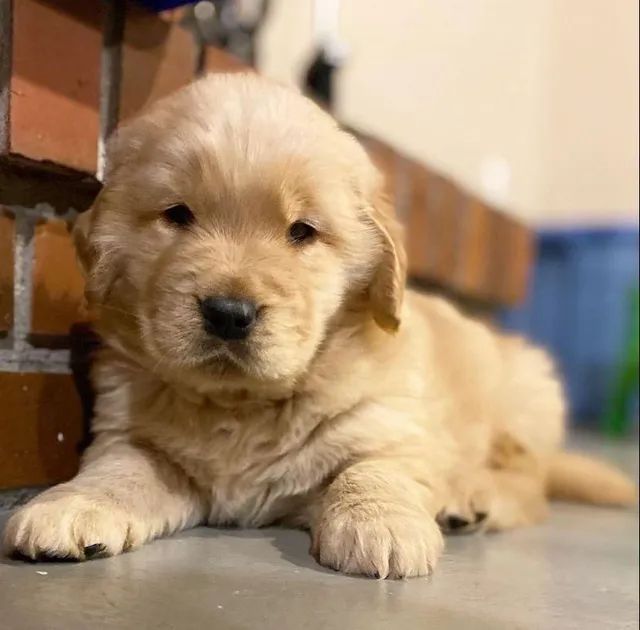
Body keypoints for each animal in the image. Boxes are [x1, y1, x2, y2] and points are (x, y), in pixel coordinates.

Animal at [3, 73, 636, 576]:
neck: (241, 404)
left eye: (302, 231)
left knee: (530, 485)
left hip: (527, 392)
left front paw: (382, 524)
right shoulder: (130, 433)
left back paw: (470, 497)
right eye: (177, 215)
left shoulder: (390, 423)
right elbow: (119, 469)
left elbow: (376, 470)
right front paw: (70, 505)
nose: (228, 313)